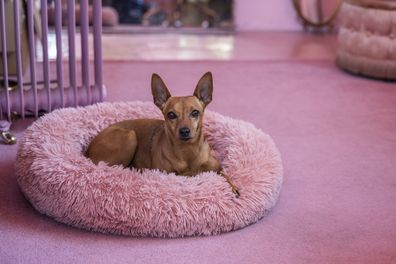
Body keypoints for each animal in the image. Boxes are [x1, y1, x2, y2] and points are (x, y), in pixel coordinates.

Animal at [86, 71, 240, 197]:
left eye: (195, 112)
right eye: (171, 115)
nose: (184, 131)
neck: (187, 151)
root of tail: (87, 150)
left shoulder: (217, 168)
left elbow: (225, 176)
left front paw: (232, 188)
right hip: (130, 136)